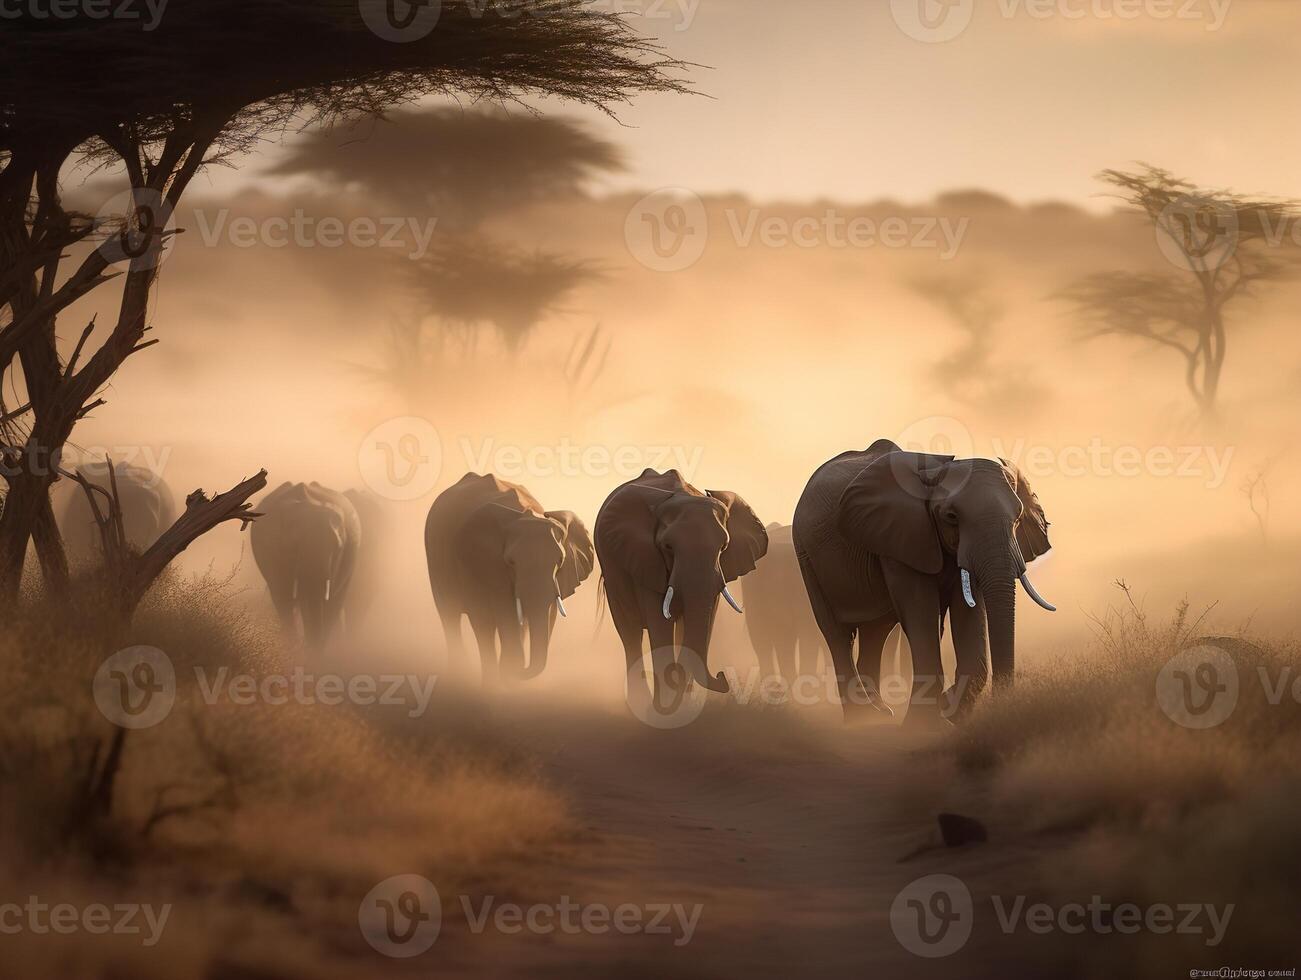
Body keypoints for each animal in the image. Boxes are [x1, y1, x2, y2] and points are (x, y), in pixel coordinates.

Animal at [421, 471, 595, 681]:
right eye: (511, 562)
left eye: (560, 561)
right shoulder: (481, 565)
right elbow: (499, 614)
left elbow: (542, 615)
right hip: (436, 563)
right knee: (456, 618)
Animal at [595, 468, 764, 702]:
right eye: (668, 547)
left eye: (724, 547)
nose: (723, 676)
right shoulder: (645, 559)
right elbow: (660, 623)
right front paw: (664, 705)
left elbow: (701, 620)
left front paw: (682, 700)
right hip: (611, 568)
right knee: (630, 633)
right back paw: (640, 701)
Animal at [791, 439, 1056, 723]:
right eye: (951, 517)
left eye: (1018, 517)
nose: (1002, 706)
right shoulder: (900, 536)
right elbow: (921, 613)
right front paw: (927, 722)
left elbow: (967, 613)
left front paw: (950, 712)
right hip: (805, 554)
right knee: (838, 634)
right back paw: (860, 718)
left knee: (877, 630)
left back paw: (879, 713)